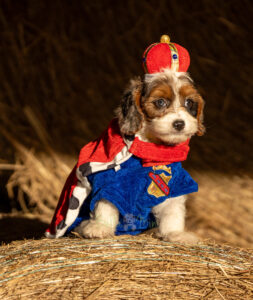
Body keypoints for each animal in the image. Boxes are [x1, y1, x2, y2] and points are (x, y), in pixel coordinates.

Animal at [76, 68, 205, 244]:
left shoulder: (175, 184)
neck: (150, 148)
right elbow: (105, 205)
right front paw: (100, 227)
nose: (179, 124)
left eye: (189, 103)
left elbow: (172, 211)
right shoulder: (110, 183)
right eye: (160, 102)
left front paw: (175, 233)